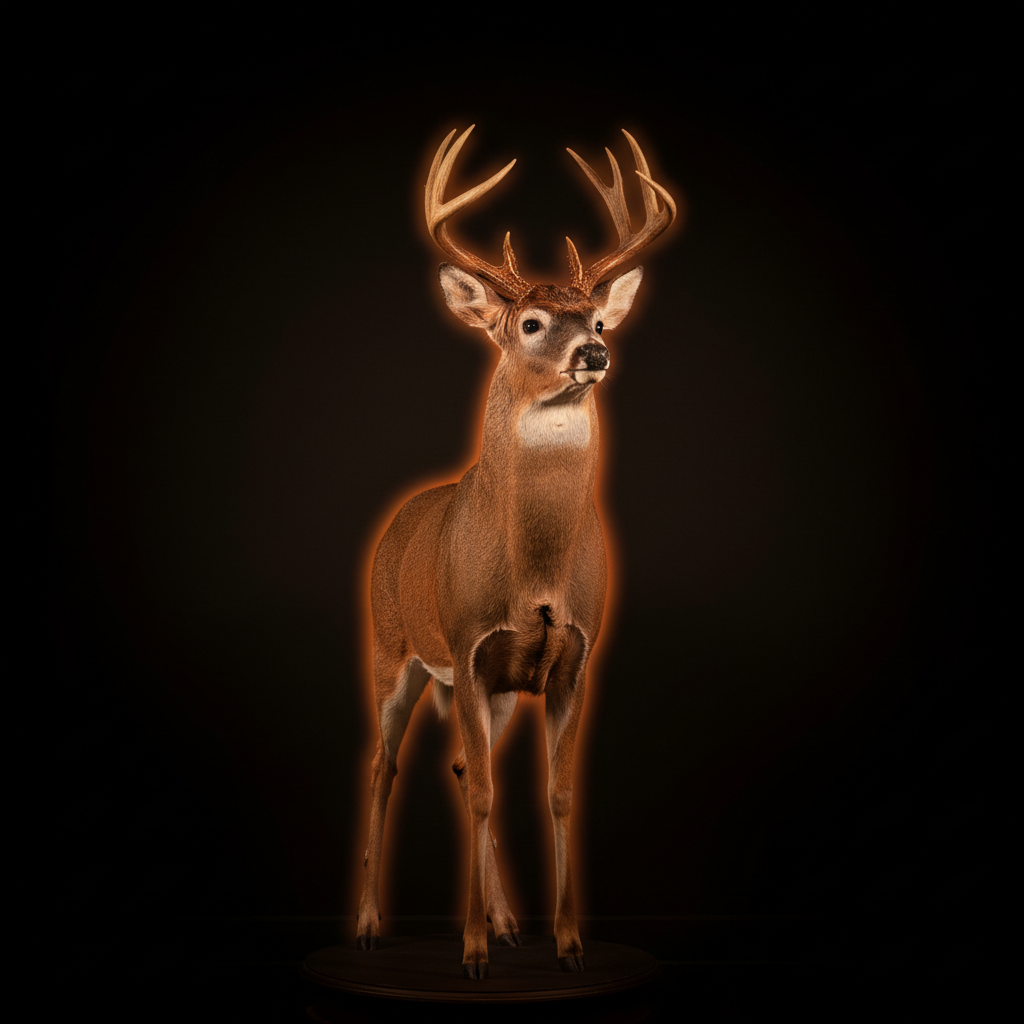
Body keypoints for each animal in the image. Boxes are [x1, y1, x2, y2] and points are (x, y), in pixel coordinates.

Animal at [354, 125, 676, 979]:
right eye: (530, 323)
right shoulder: (468, 644)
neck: (534, 567)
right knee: (385, 764)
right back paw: (368, 926)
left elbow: (555, 793)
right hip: (391, 648)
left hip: (494, 690)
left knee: (465, 762)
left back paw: (505, 924)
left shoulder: (572, 657)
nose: (594, 355)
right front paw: (467, 954)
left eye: (598, 320)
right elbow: (480, 796)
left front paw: (566, 944)